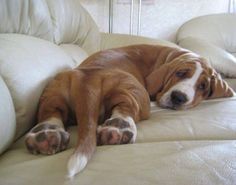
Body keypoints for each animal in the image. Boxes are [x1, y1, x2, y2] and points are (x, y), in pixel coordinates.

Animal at [24, 43, 234, 178]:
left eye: (203, 86)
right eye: (180, 73)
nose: (179, 98)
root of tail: (89, 76)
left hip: (52, 92)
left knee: (50, 111)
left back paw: (46, 134)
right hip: (136, 90)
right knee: (126, 107)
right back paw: (118, 128)